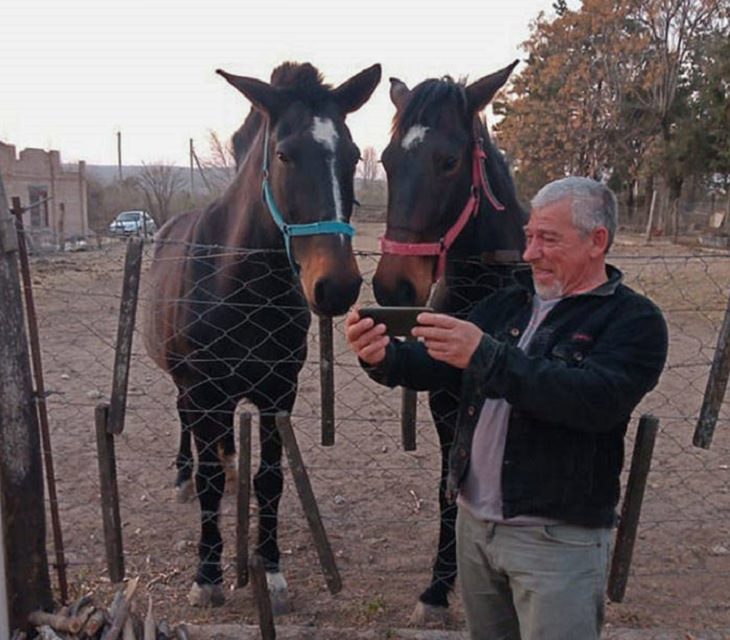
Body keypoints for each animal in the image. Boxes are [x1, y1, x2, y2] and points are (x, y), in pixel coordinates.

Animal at [144, 61, 382, 608]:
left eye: (353, 156)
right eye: (283, 154)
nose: (337, 285)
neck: (241, 287)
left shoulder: (278, 394)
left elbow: (270, 480)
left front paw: (270, 570)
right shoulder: (205, 389)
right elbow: (209, 481)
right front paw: (207, 575)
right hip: (187, 387)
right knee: (185, 425)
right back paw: (182, 474)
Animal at [372, 62, 528, 624]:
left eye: (450, 162)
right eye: (388, 160)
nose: (393, 287)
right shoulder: (445, 402)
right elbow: (448, 489)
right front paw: (438, 588)